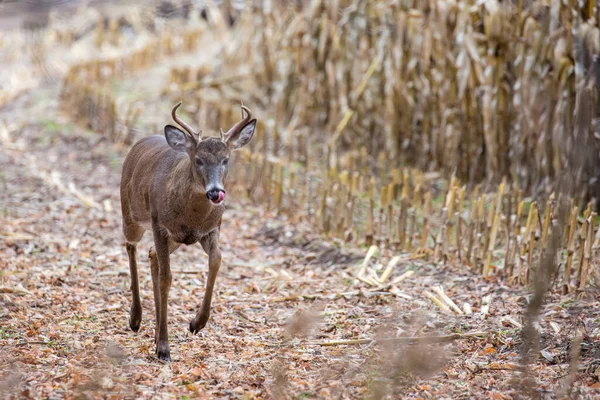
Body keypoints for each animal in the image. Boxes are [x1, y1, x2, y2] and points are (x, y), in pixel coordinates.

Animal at [119, 101, 255, 360]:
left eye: (226, 159)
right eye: (199, 160)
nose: (215, 192)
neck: (192, 217)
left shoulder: (211, 229)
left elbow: (216, 260)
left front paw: (196, 323)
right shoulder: (159, 225)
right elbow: (167, 277)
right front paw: (164, 348)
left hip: (173, 239)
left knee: (151, 255)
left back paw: (153, 331)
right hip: (130, 213)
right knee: (131, 246)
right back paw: (135, 318)